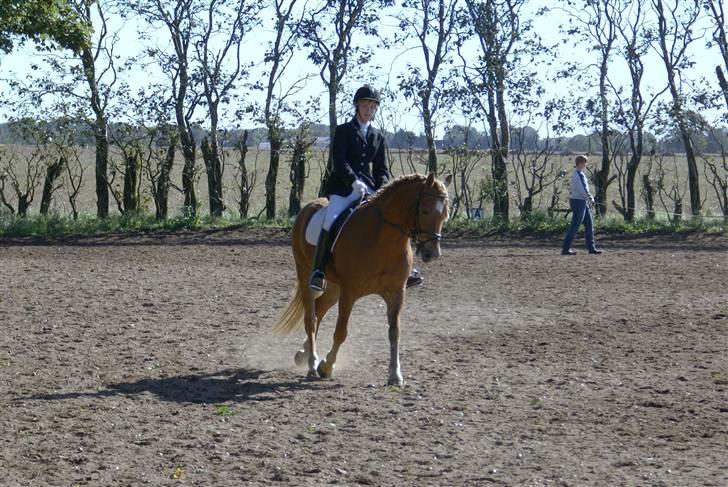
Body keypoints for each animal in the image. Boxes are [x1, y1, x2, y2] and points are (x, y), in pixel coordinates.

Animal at [272, 173, 450, 386]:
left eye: (445, 215)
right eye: (425, 211)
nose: (432, 254)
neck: (383, 240)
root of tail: (308, 207)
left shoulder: (397, 293)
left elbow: (394, 332)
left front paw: (395, 375)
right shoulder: (349, 293)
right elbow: (341, 332)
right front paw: (326, 367)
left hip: (334, 287)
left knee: (320, 309)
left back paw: (302, 354)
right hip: (306, 272)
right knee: (311, 318)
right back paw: (312, 363)